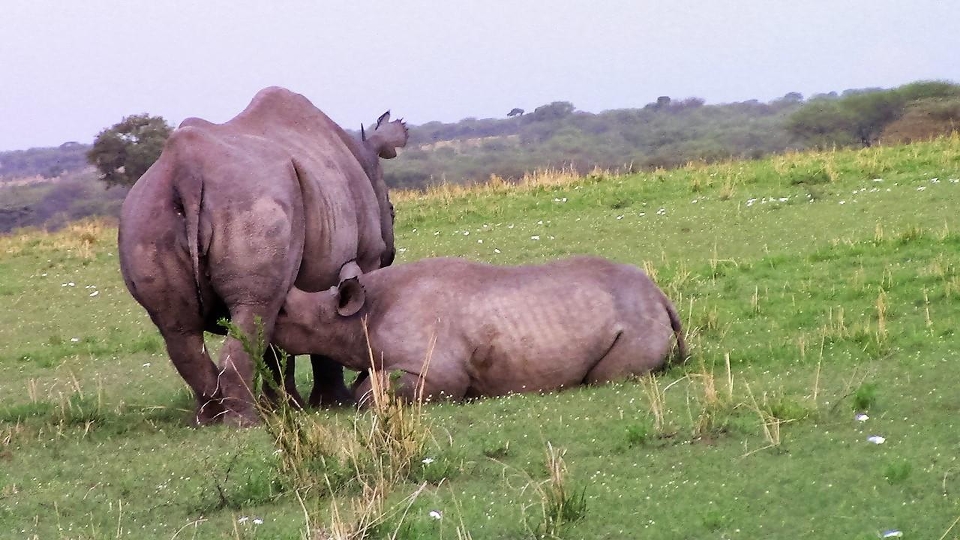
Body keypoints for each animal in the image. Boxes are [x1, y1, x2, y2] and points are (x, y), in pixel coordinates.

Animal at [118, 86, 407, 425]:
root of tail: (185, 171)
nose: (392, 252)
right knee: (252, 310)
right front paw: (335, 404)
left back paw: (211, 420)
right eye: (392, 211)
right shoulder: (361, 258)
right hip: (253, 204)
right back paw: (246, 423)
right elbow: (329, 330)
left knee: (180, 329)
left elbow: (278, 345)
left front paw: (290, 406)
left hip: (144, 217)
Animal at [272, 256, 687, 402]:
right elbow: (367, 382)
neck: (355, 315)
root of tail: (660, 295)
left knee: (607, 377)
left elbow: (370, 394)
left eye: (284, 313)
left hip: (635, 320)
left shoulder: (435, 373)